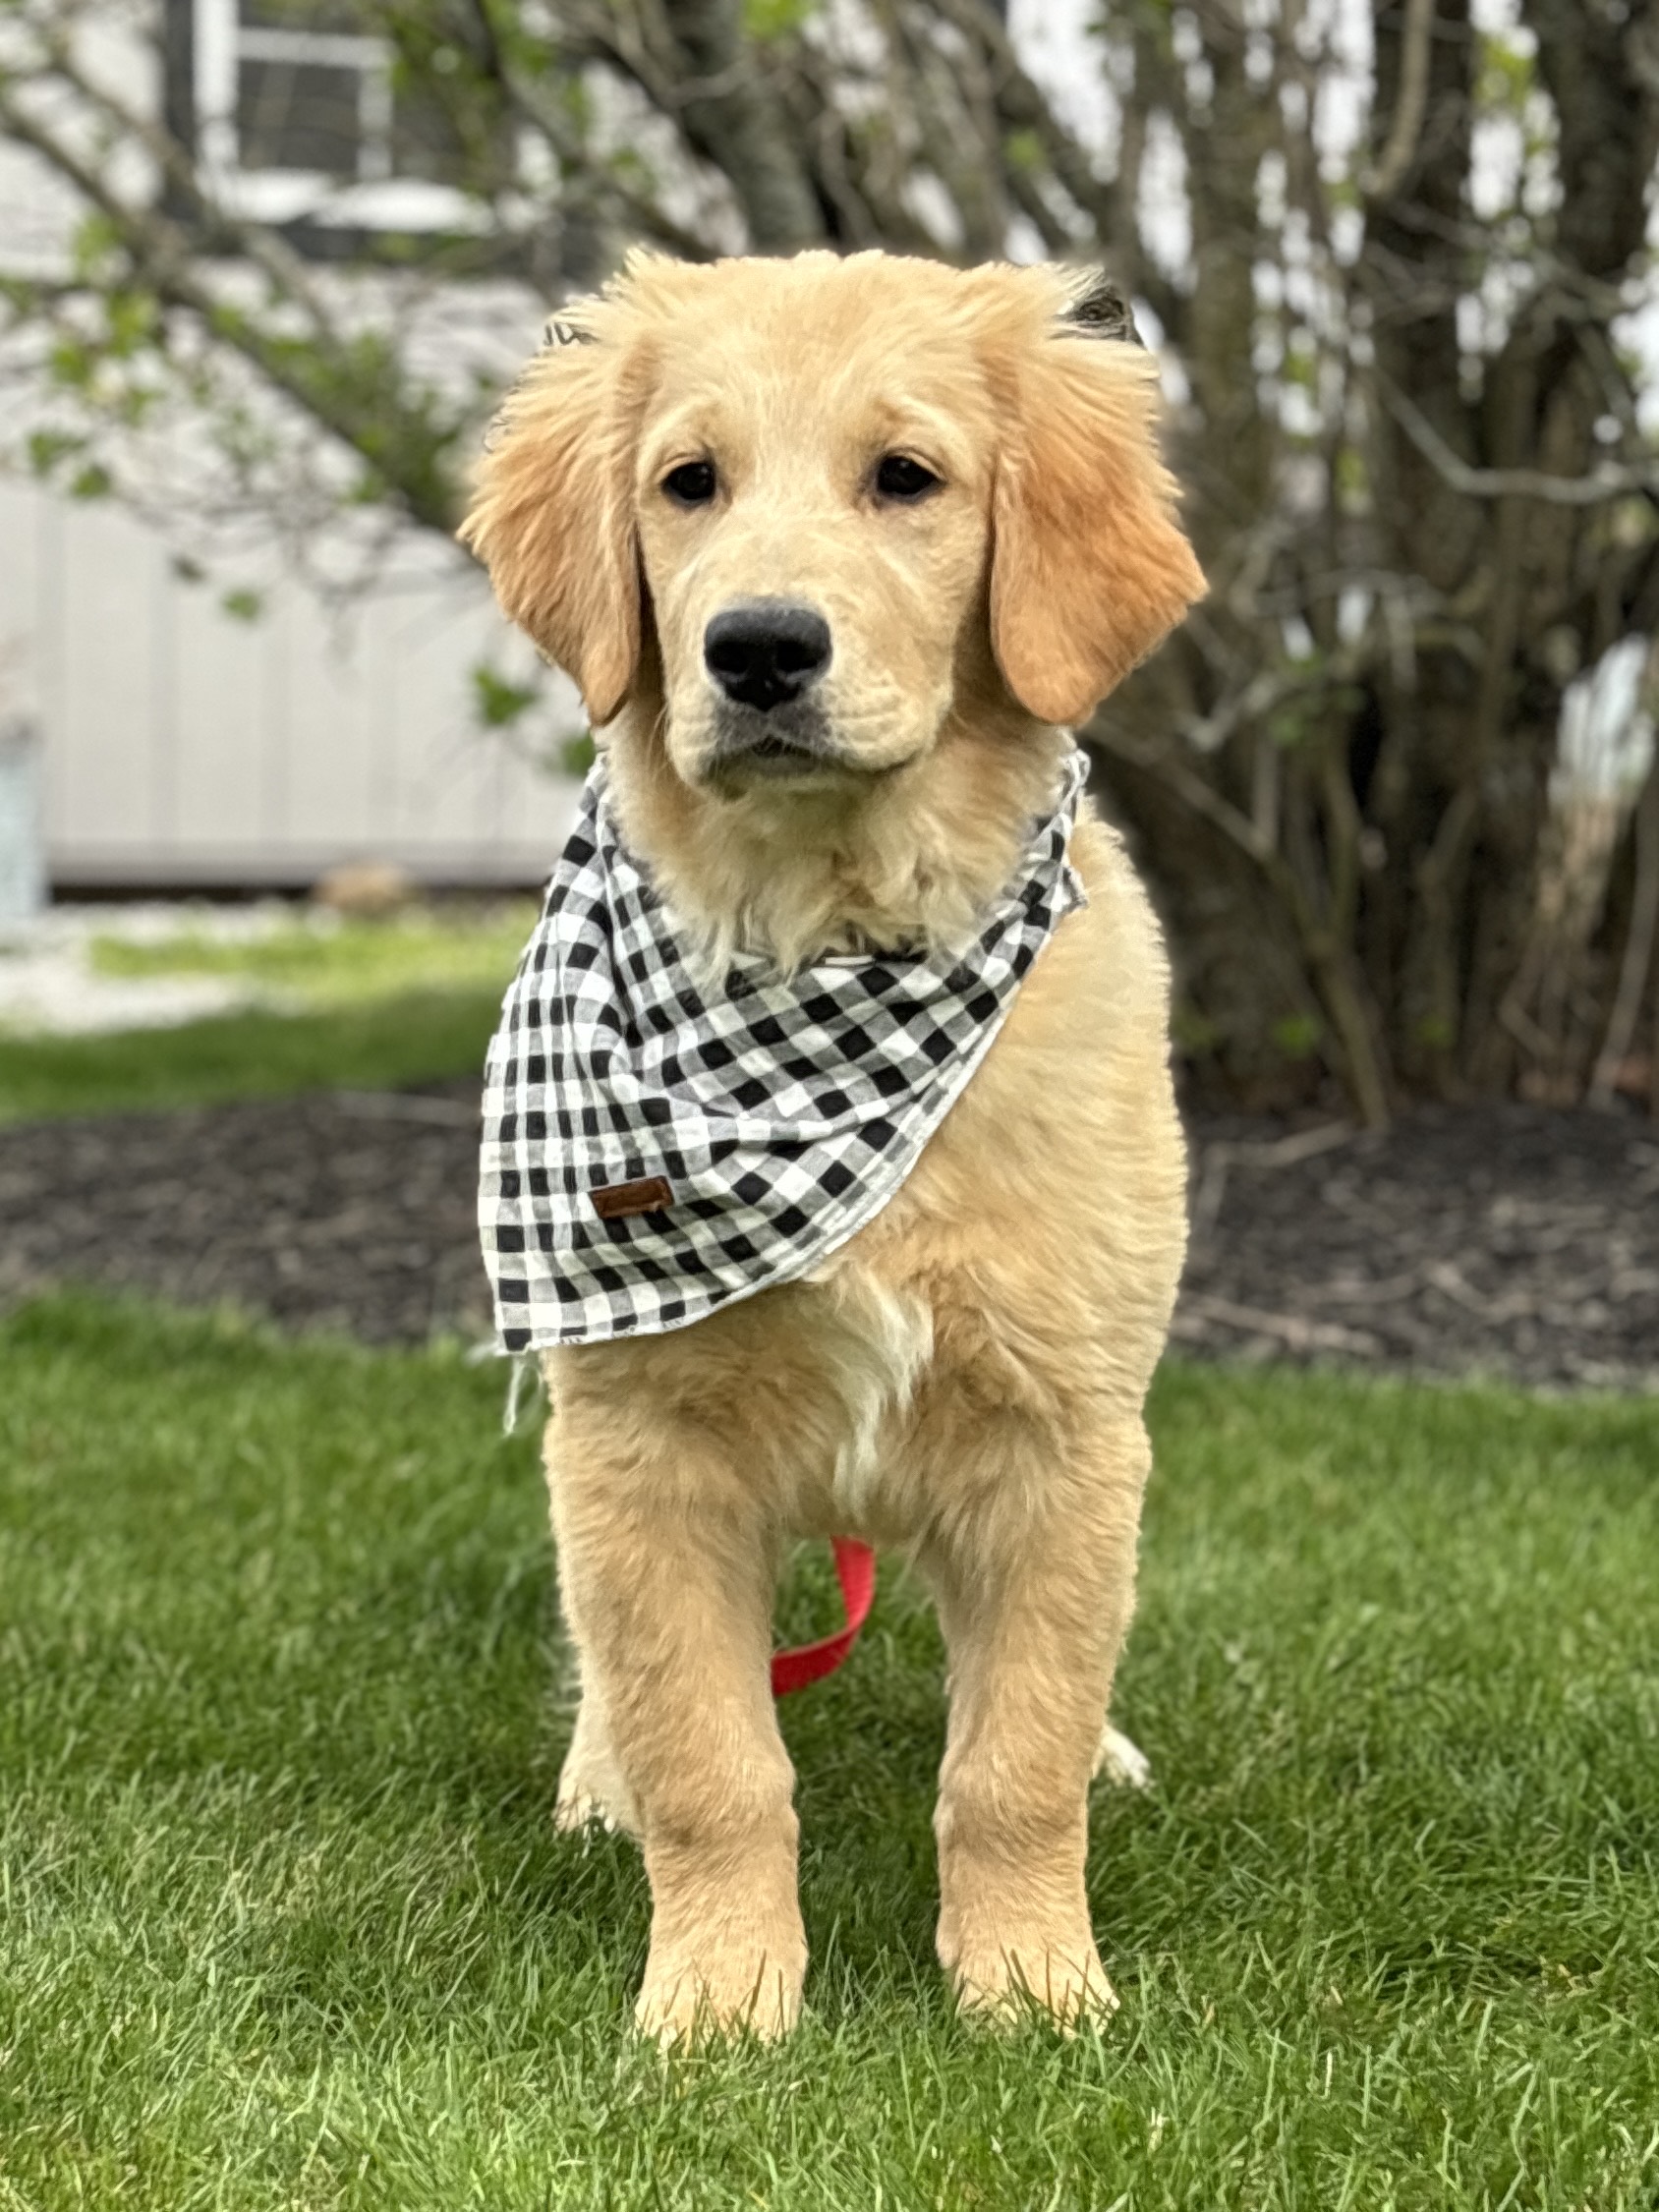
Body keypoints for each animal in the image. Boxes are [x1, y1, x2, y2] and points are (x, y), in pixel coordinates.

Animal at [462, 254, 1203, 2034]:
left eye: (906, 478)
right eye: (688, 484)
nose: (757, 648)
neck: (829, 942)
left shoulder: (1065, 1435)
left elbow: (1015, 1755)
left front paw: (1035, 1994)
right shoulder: (638, 1446)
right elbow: (706, 1754)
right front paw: (719, 2006)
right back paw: (593, 1777)